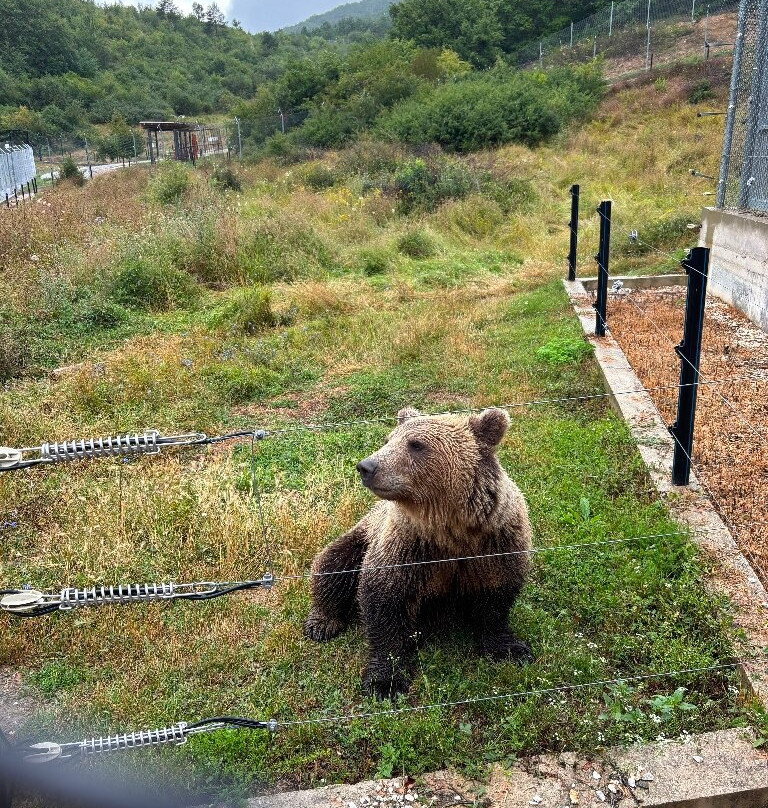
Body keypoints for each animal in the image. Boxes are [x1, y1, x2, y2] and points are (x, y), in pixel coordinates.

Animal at [303, 406, 533, 699]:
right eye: (388, 439)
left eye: (415, 444)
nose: (367, 466)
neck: (450, 530)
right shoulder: (407, 546)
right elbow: (385, 601)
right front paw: (385, 682)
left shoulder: (495, 542)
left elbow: (496, 597)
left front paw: (511, 650)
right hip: (360, 537)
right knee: (333, 565)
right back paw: (322, 623)